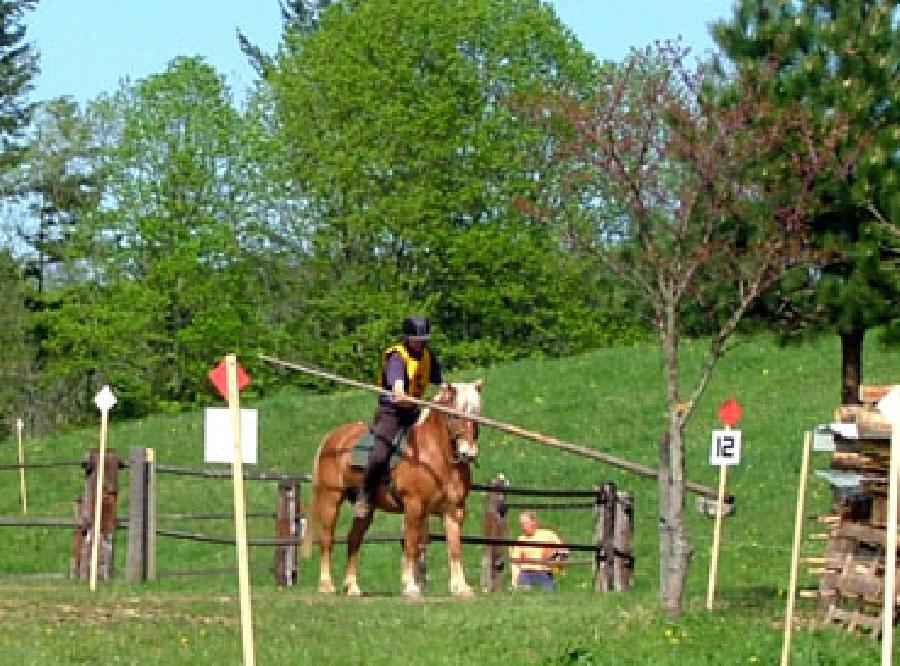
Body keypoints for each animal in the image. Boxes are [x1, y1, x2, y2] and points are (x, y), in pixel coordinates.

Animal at [302, 378, 486, 596]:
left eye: (478, 413)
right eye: (454, 414)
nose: (469, 453)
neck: (433, 454)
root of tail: (333, 437)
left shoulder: (454, 509)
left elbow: (455, 548)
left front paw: (460, 587)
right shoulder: (414, 506)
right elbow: (411, 545)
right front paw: (411, 586)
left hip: (366, 509)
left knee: (353, 539)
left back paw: (353, 586)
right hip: (331, 499)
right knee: (327, 539)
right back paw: (326, 584)